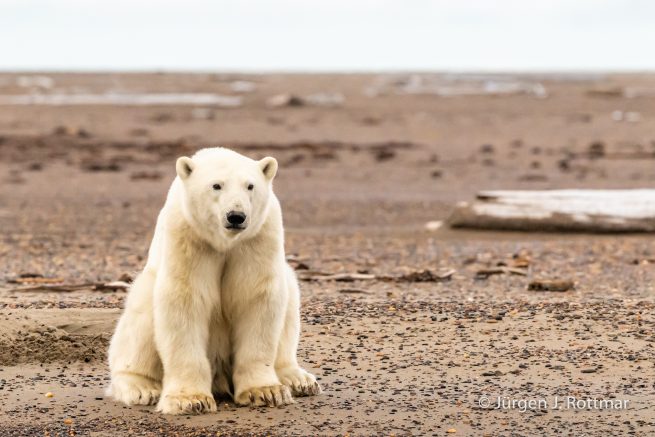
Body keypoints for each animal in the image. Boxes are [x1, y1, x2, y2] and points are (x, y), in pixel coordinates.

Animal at [107, 147, 321, 415]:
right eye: (216, 185)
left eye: (250, 186)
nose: (236, 216)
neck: (224, 241)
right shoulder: (188, 236)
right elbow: (184, 300)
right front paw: (189, 400)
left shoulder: (258, 238)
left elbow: (256, 297)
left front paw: (265, 391)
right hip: (146, 292)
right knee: (140, 320)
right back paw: (141, 388)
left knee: (290, 297)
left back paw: (298, 379)